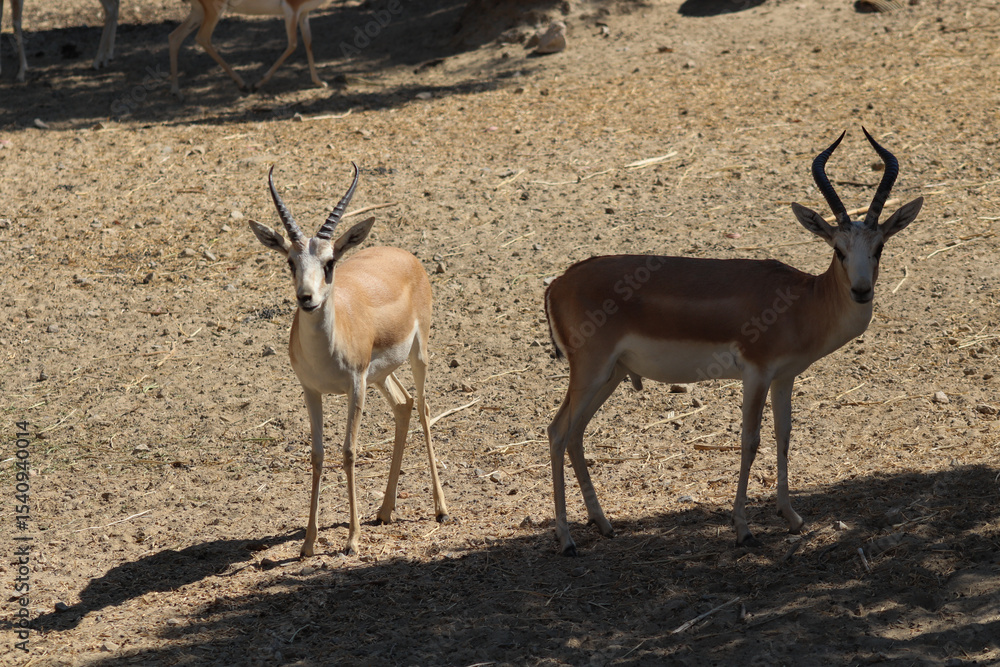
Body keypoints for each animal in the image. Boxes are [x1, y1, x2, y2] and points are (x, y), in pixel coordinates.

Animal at [169, 0, 328, 99]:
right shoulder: (291, 11)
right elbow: (292, 45)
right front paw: (257, 84)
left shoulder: (304, 13)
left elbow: (308, 42)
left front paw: (319, 82)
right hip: (214, 10)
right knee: (202, 38)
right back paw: (243, 83)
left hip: (199, 11)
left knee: (175, 36)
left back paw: (177, 92)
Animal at [248, 163, 449, 557]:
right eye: (290, 261)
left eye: (329, 262)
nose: (306, 298)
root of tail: (404, 255)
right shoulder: (311, 390)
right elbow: (317, 455)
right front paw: (308, 543)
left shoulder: (356, 387)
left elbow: (349, 452)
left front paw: (353, 539)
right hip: (380, 376)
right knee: (403, 405)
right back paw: (384, 511)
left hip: (417, 355)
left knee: (422, 408)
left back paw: (441, 509)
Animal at [544, 128, 923, 556]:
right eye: (838, 250)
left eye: (879, 247)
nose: (861, 291)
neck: (803, 300)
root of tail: (558, 284)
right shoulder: (756, 374)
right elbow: (750, 441)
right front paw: (743, 529)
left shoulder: (784, 377)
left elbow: (783, 436)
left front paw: (792, 518)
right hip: (591, 371)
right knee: (557, 432)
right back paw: (566, 539)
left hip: (612, 375)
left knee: (575, 434)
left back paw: (604, 524)